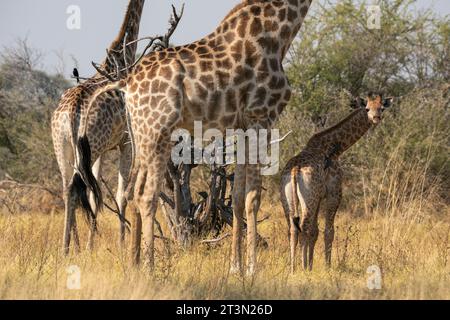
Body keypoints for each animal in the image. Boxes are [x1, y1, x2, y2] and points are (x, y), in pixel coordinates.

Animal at [51, 0, 145, 255]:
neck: (122, 57)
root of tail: (71, 111)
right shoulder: (125, 142)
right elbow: (121, 194)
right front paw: (122, 244)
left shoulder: (102, 151)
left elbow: (96, 197)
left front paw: (91, 245)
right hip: (89, 146)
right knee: (78, 188)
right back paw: (69, 247)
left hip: (64, 146)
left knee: (68, 189)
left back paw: (69, 246)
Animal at [79, 0, 312, 276]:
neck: (279, 33)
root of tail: (126, 83)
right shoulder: (261, 117)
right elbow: (254, 198)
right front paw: (252, 269)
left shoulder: (243, 127)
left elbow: (237, 198)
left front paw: (235, 268)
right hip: (157, 133)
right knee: (146, 195)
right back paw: (149, 268)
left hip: (140, 135)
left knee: (131, 191)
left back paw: (133, 264)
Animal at [280, 93, 392, 272]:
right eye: (367, 108)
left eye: (381, 108)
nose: (376, 118)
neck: (335, 149)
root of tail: (294, 170)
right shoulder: (334, 193)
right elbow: (328, 232)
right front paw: (326, 266)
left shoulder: (319, 197)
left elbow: (315, 231)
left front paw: (311, 265)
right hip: (308, 199)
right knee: (303, 227)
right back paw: (301, 268)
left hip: (288, 198)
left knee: (293, 229)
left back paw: (292, 269)